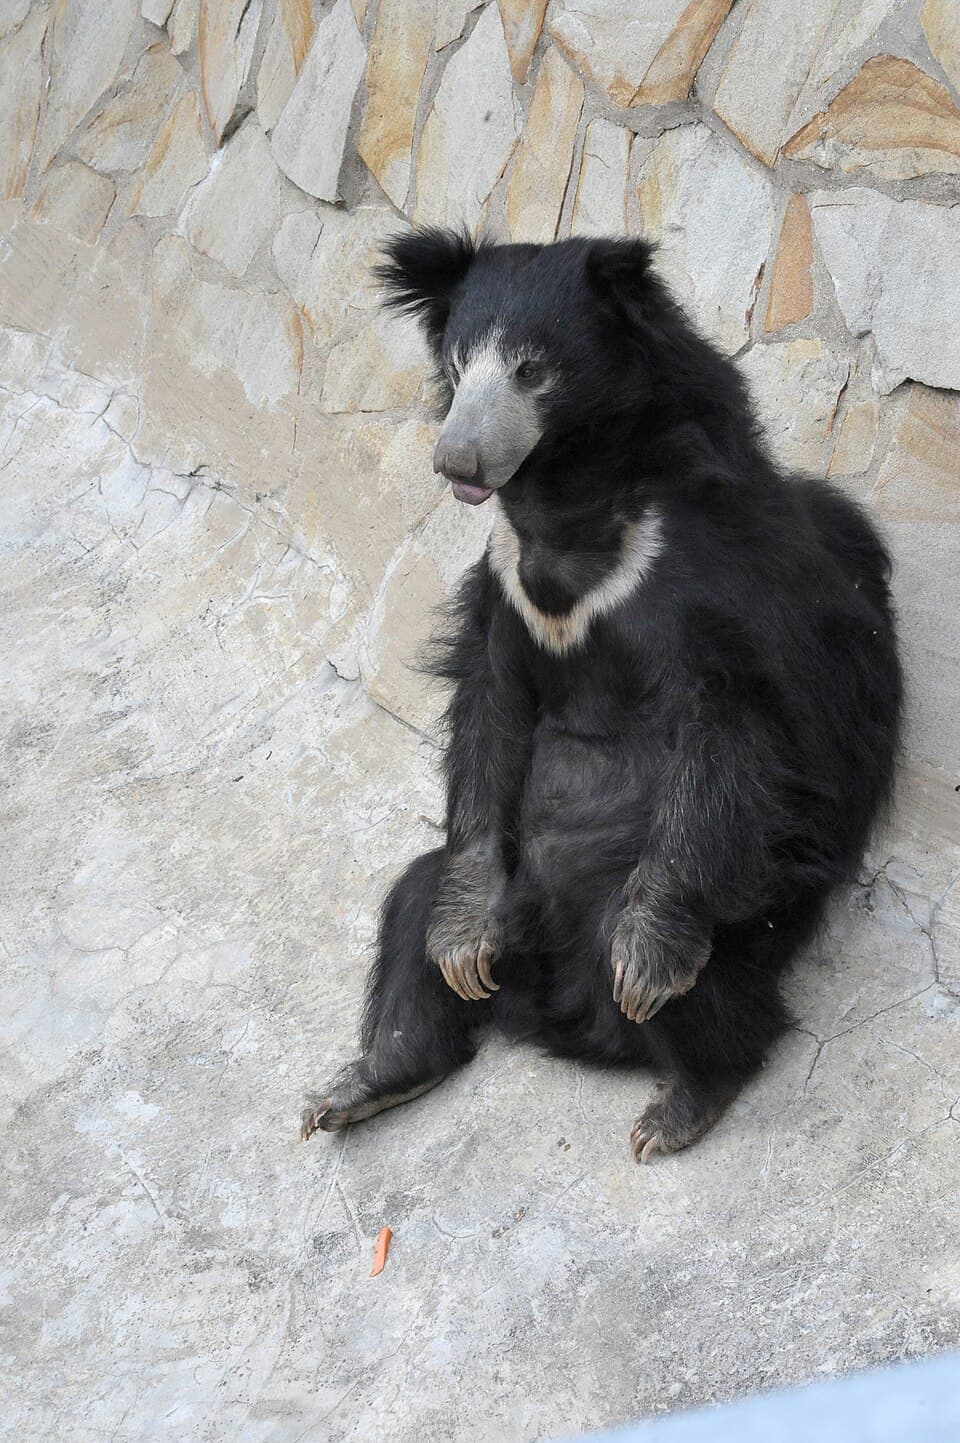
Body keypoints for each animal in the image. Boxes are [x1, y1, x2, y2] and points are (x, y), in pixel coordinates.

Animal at [300, 230, 903, 1163]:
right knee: (413, 901)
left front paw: (651, 962)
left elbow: (734, 731)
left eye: (532, 370)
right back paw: (372, 1077)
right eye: (460, 363)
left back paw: (681, 1098)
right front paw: (460, 944)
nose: (456, 460)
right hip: (506, 909)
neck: (569, 511)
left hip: (733, 932)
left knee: (689, 984)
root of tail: (562, 1018)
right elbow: (491, 714)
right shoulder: (503, 588)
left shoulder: (707, 575)